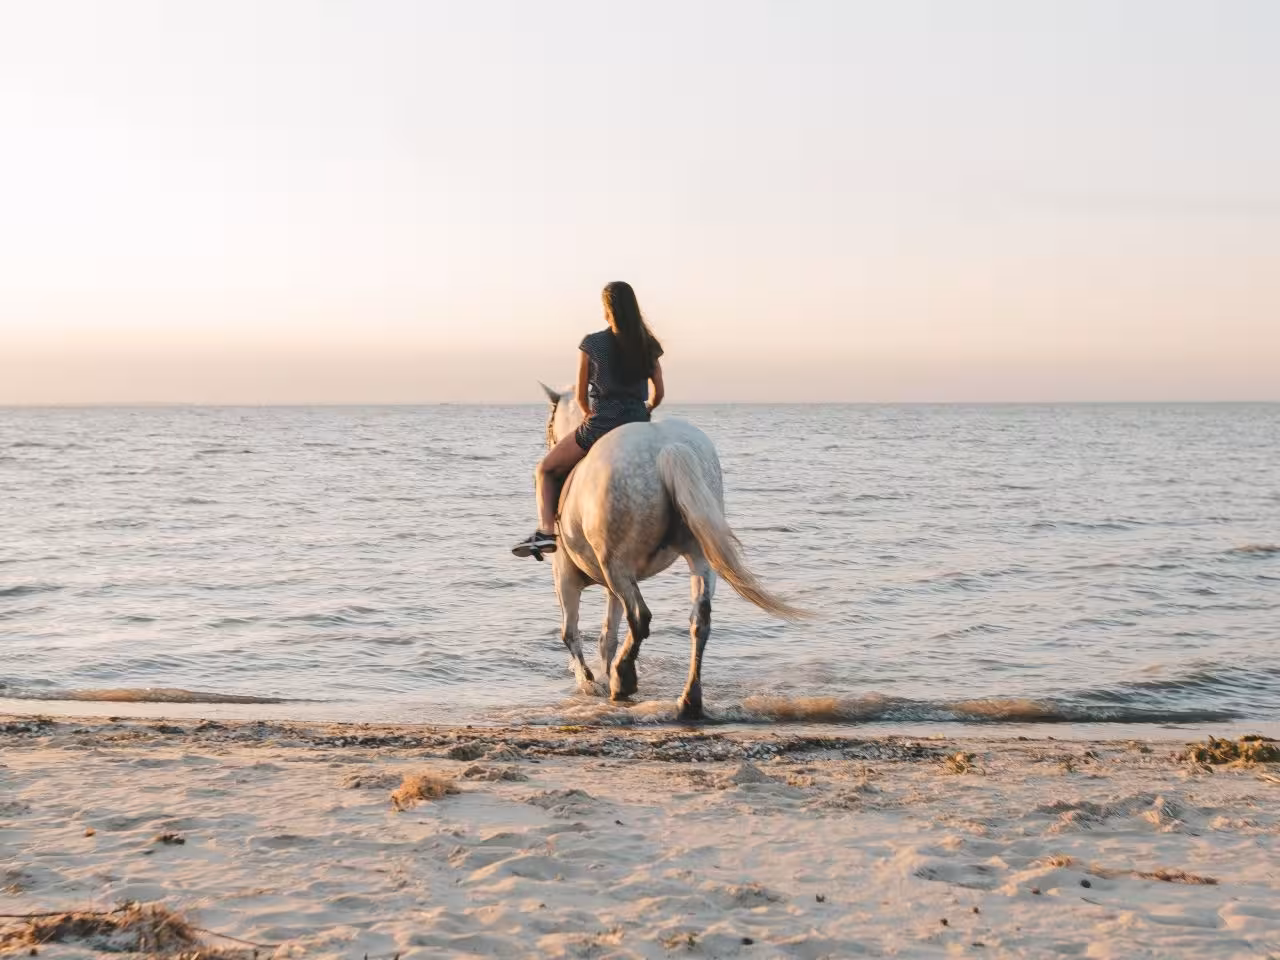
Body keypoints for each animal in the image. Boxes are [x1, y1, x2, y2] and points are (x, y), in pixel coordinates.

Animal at [537, 383, 802, 721]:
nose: (550, 440)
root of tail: (667, 448)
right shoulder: (612, 587)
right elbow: (607, 636)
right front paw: (603, 675)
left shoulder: (566, 576)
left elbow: (570, 633)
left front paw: (591, 683)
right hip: (696, 557)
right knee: (699, 619)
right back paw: (689, 699)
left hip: (617, 565)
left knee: (641, 617)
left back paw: (624, 679)